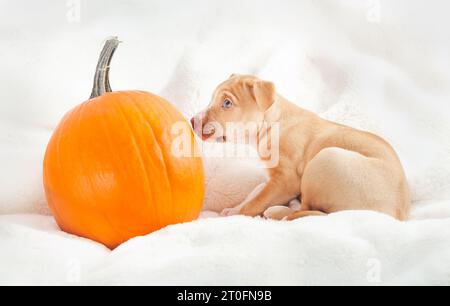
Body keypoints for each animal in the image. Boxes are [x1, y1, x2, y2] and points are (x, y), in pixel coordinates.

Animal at [192, 75, 410, 221]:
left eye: (227, 103)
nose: (192, 121)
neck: (272, 122)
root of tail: (396, 216)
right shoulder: (272, 180)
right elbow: (257, 190)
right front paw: (234, 207)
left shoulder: (286, 181)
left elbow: (257, 201)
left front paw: (236, 213)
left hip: (325, 159)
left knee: (309, 210)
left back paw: (279, 211)